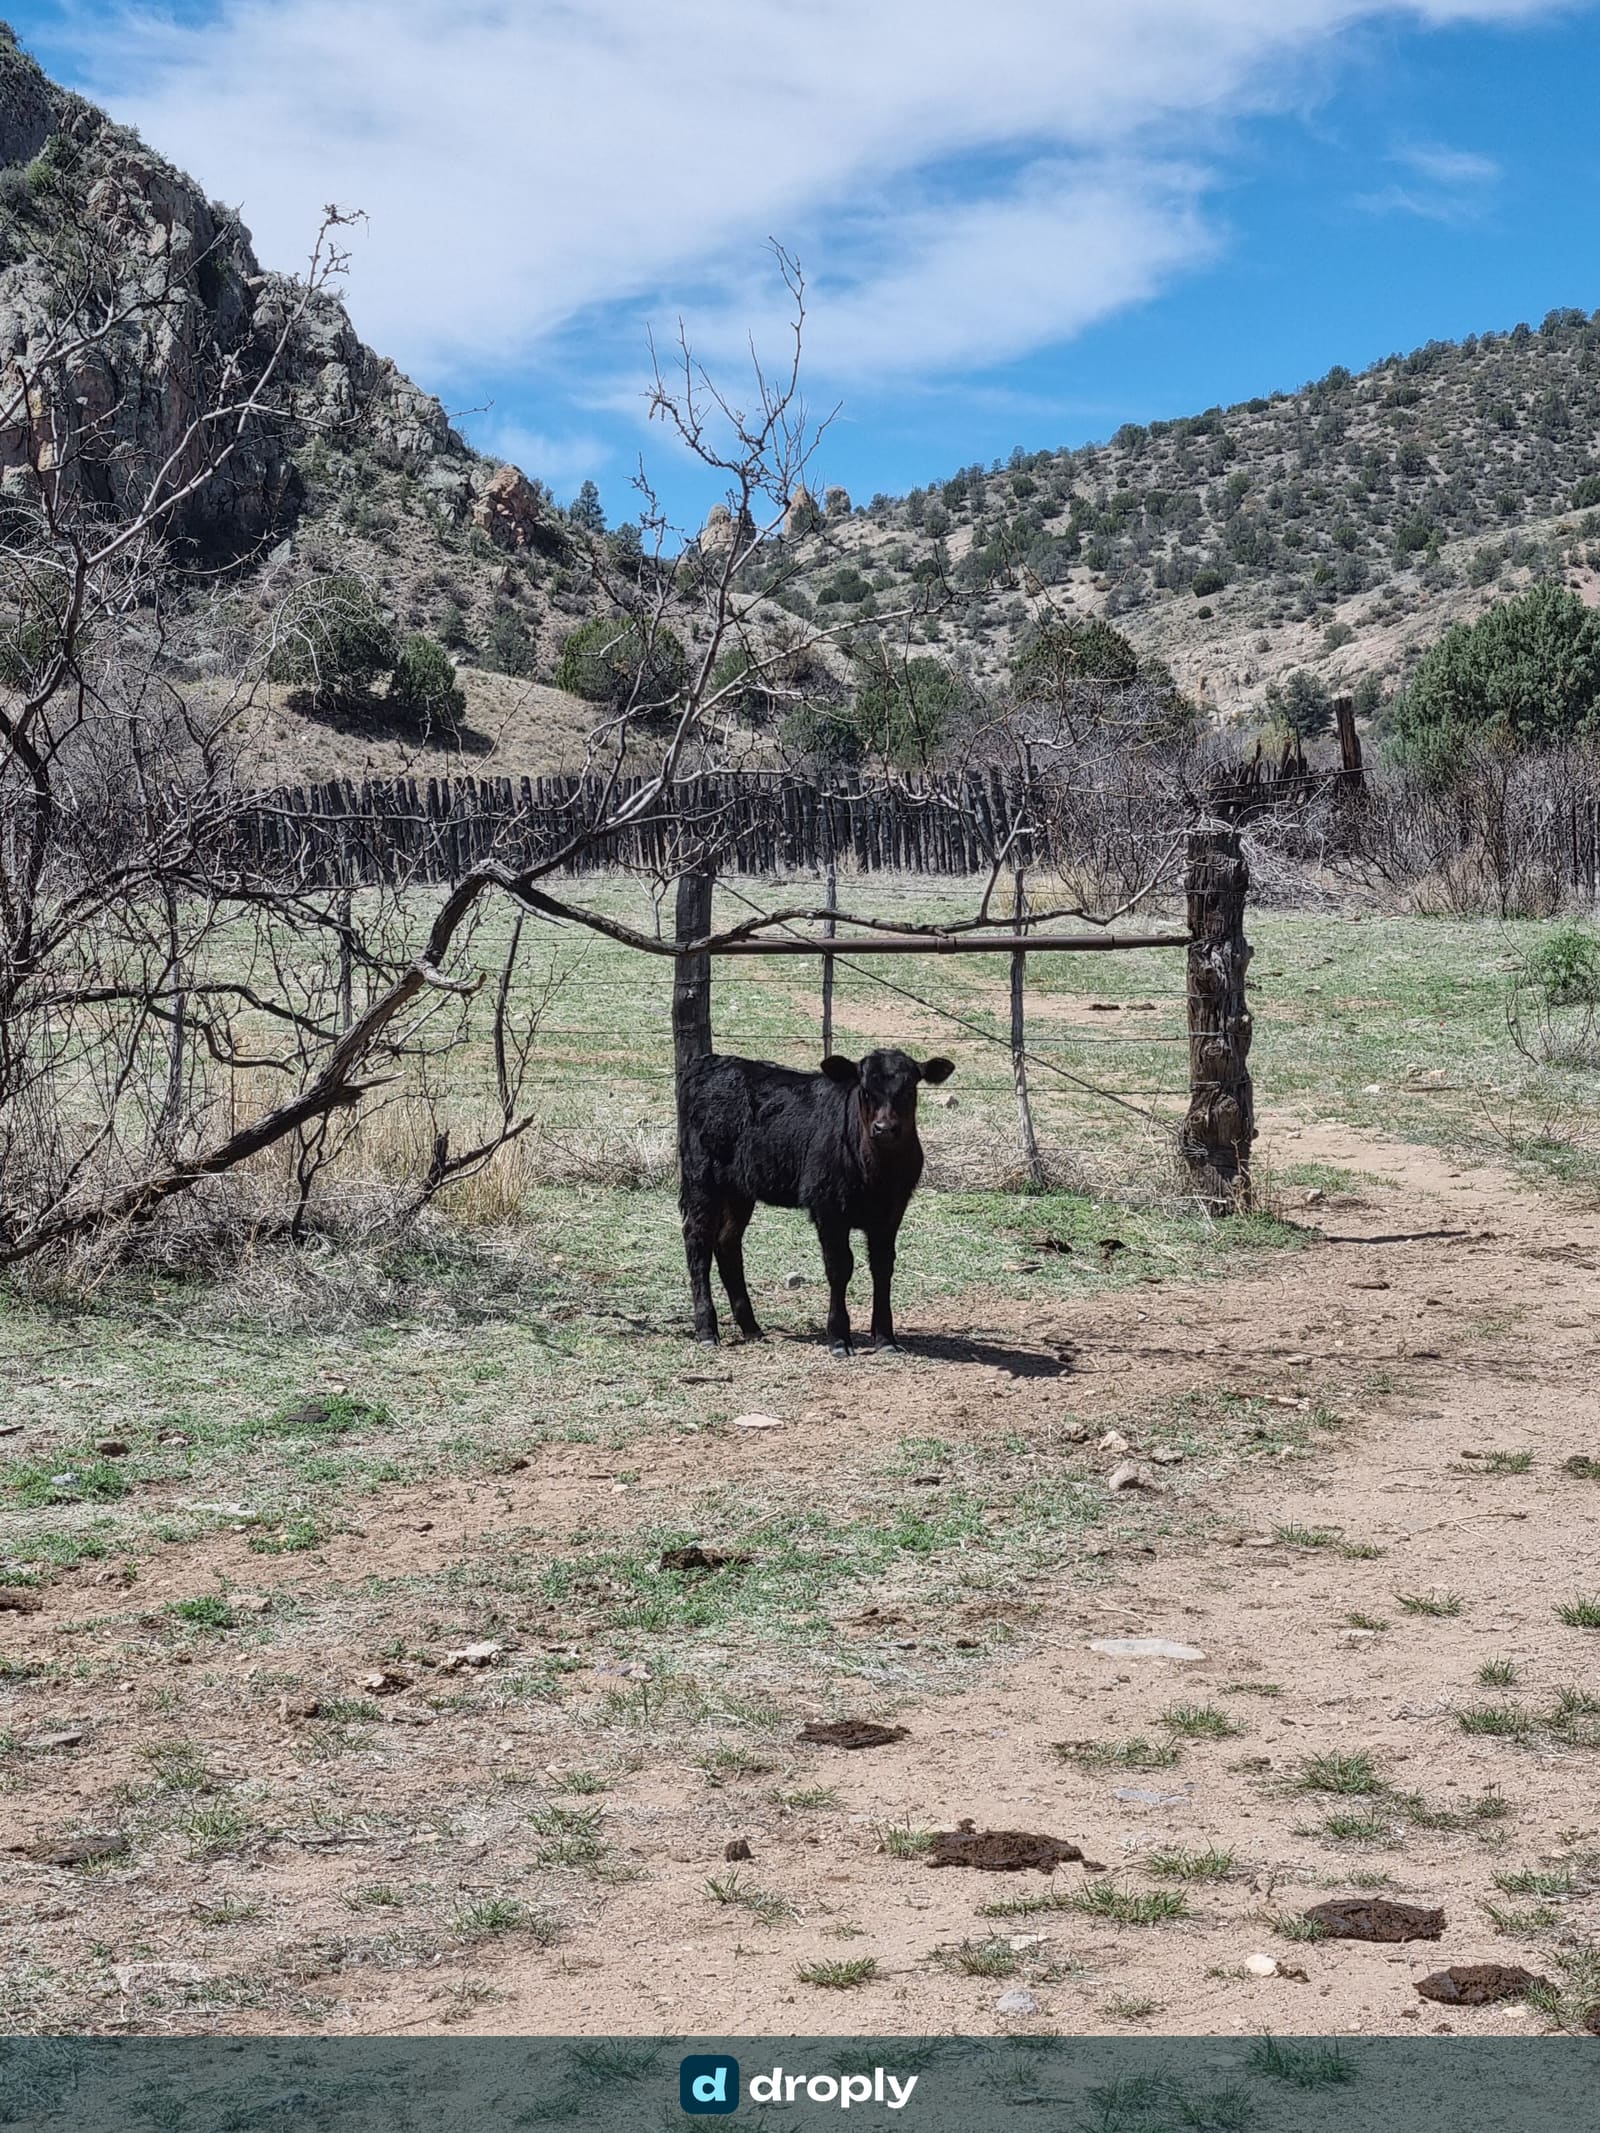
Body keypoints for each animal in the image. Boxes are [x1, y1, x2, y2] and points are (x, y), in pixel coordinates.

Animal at [677, 1046, 955, 1355]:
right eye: (865, 1090)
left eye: (908, 1089)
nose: (884, 1128)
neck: (878, 1174)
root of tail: (710, 1061)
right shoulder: (828, 1208)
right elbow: (839, 1267)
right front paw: (838, 1338)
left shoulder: (892, 1212)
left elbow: (883, 1266)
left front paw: (885, 1338)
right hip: (701, 1179)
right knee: (698, 1241)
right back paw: (706, 1329)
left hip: (740, 1189)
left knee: (727, 1243)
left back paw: (751, 1328)